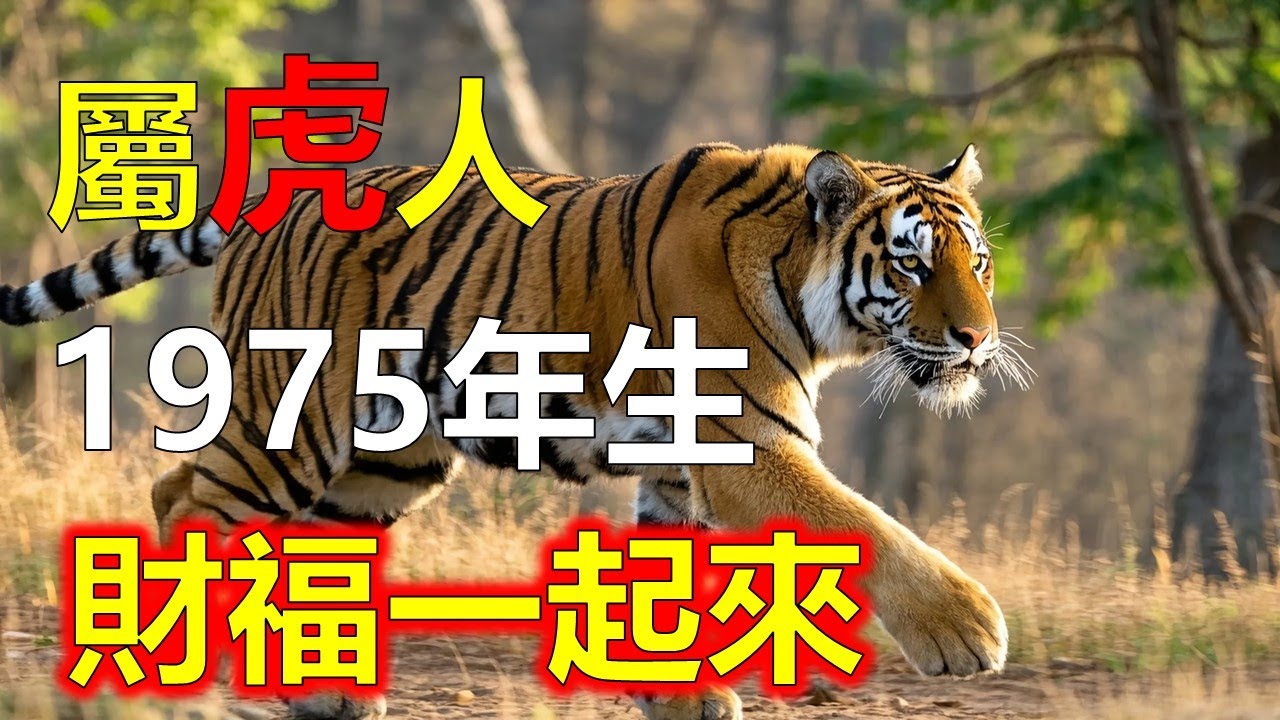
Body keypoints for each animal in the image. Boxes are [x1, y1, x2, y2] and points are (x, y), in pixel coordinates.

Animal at [1, 142, 1021, 720]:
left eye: (975, 263)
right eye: (911, 264)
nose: (978, 340)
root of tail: (276, 200)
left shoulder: (680, 462)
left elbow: (667, 585)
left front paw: (680, 697)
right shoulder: (750, 443)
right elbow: (863, 526)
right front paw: (969, 630)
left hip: (385, 460)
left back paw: (319, 689)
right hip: (289, 419)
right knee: (184, 499)